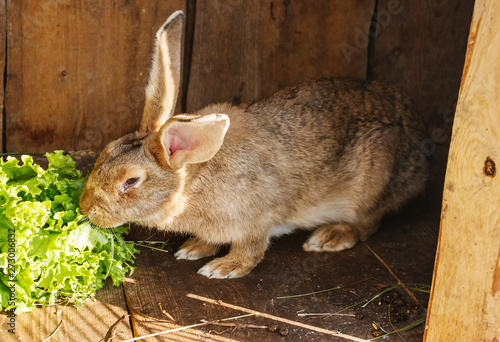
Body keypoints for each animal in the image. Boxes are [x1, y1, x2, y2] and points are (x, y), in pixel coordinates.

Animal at [79, 10, 430, 278]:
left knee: (369, 222)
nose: (86, 209)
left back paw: (330, 237)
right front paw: (194, 249)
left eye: (131, 181)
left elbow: (250, 250)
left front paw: (223, 268)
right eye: (105, 152)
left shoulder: (256, 222)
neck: (191, 181)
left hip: (373, 179)